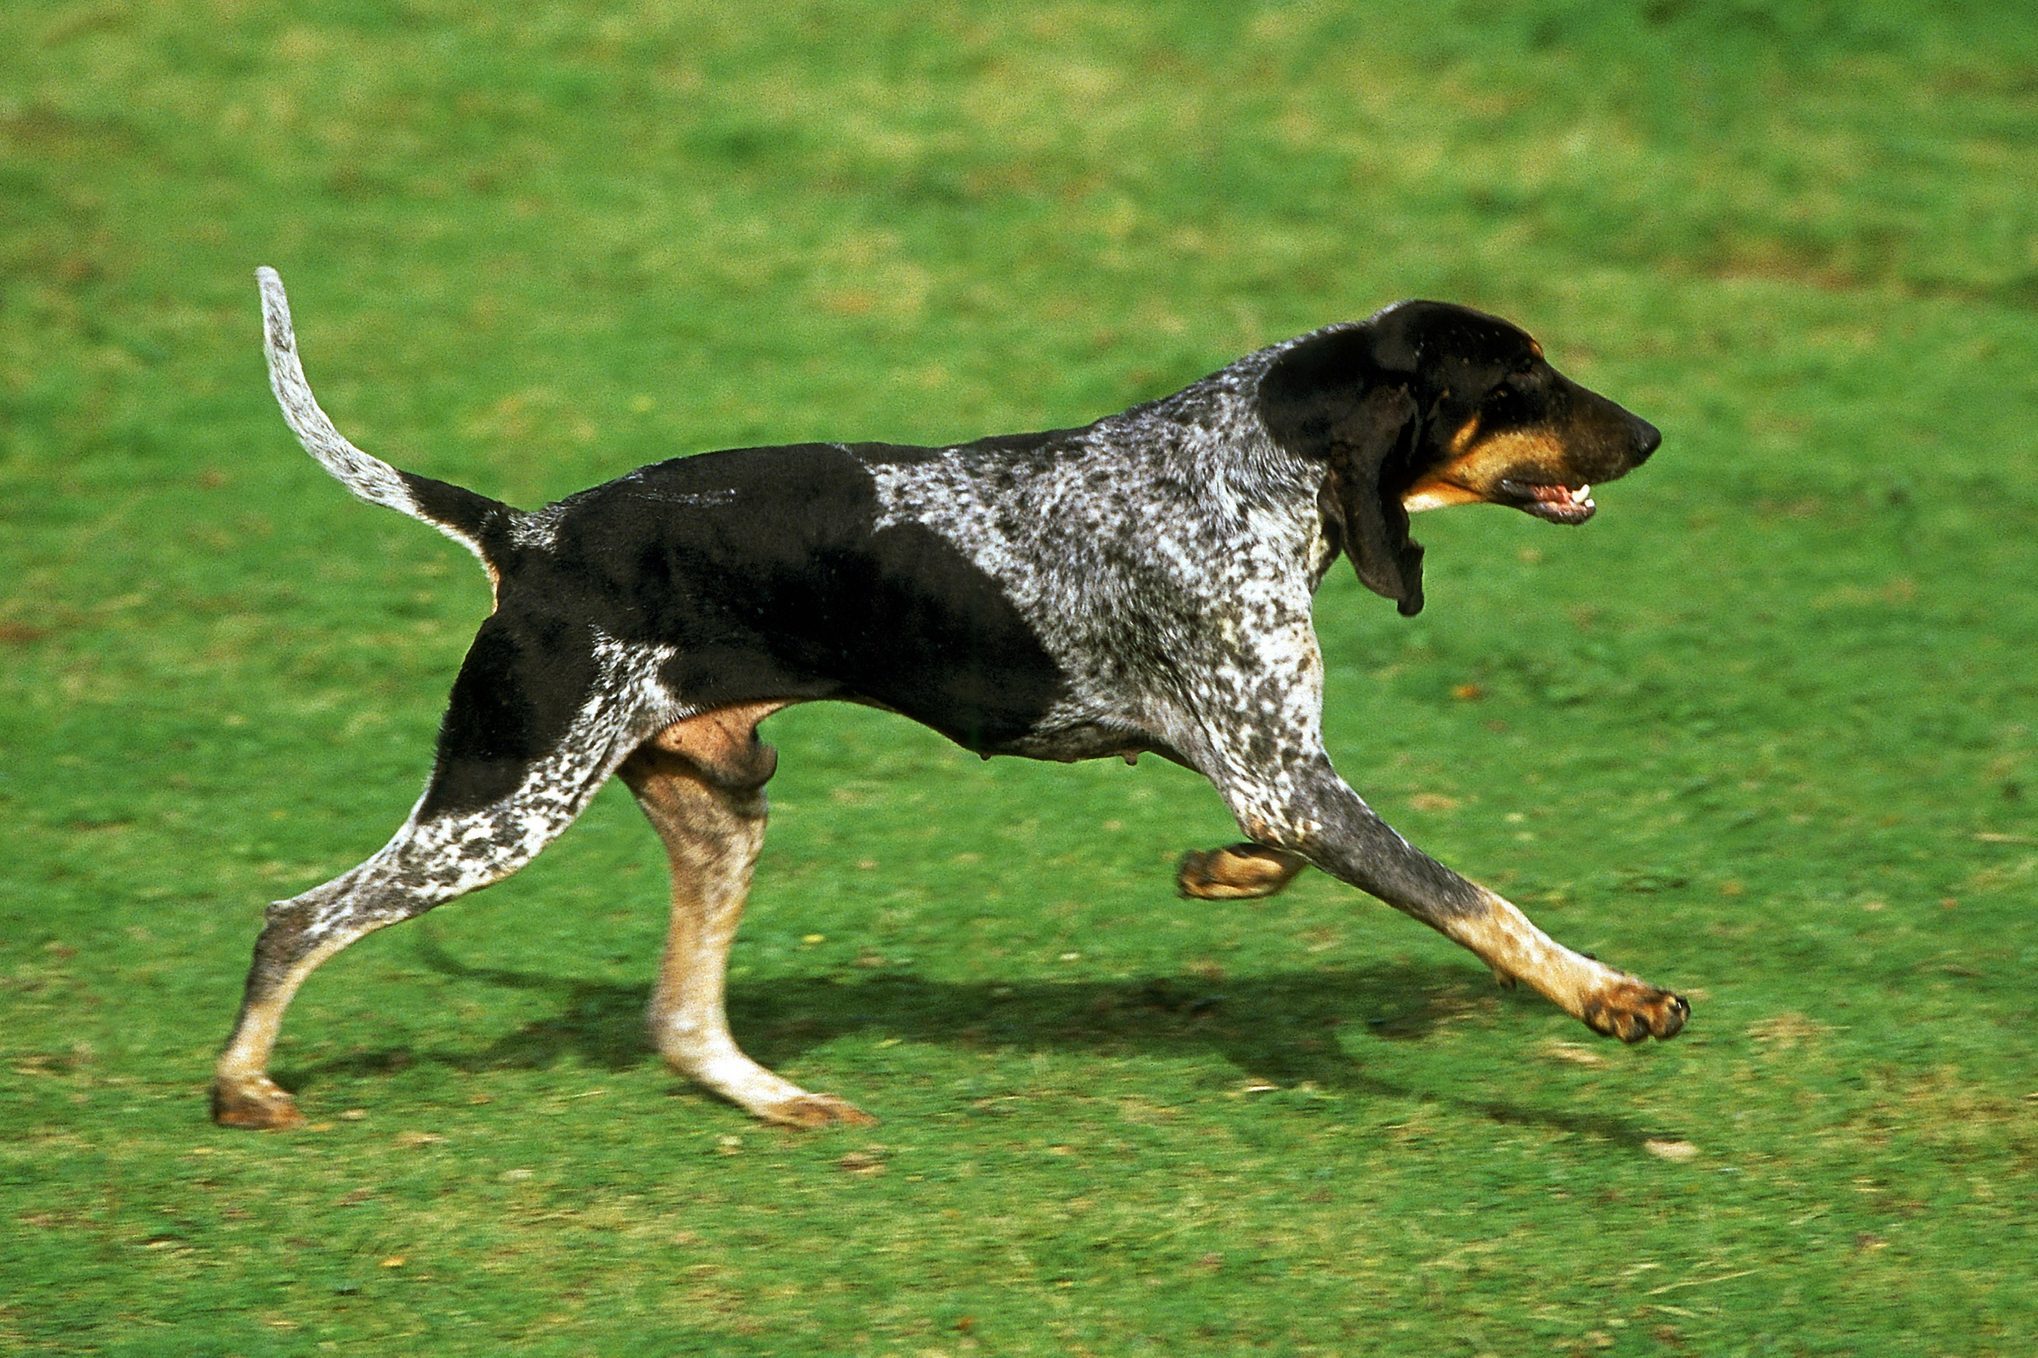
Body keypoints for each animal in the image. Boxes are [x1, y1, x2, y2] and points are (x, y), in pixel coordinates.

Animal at [215, 269, 1687, 1125]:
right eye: (1516, 379)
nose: (1654, 436)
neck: (1253, 461)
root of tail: (527, 533)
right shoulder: (1287, 775)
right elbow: (1479, 904)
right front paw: (1612, 997)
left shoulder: (1277, 777)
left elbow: (1280, 850)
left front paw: (1217, 873)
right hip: (502, 801)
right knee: (299, 919)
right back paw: (243, 1086)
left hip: (719, 810)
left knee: (679, 1019)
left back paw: (773, 1098)